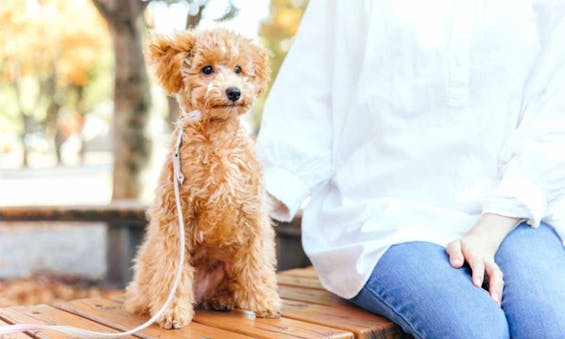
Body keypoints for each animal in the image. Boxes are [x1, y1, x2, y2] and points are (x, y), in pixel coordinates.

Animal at [124, 28, 280, 330]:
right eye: (207, 69)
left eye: (238, 69)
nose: (234, 91)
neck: (218, 139)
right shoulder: (175, 218)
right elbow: (173, 268)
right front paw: (173, 312)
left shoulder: (253, 215)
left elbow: (258, 263)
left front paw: (265, 301)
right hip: (148, 260)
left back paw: (220, 299)